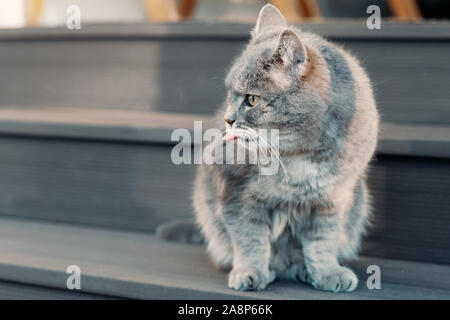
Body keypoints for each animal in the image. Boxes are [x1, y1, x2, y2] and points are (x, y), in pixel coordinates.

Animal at [160, 3, 378, 292]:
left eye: (251, 99)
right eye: (229, 94)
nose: (228, 119)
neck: (297, 154)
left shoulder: (332, 199)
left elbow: (323, 243)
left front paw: (327, 272)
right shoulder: (238, 194)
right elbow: (250, 239)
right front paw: (250, 272)